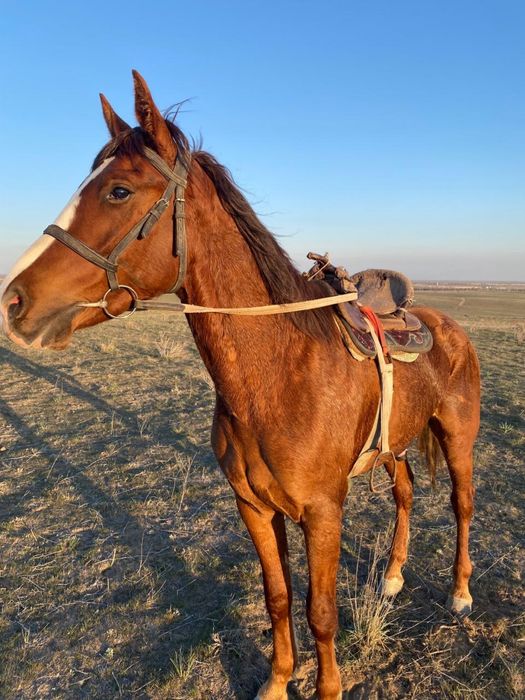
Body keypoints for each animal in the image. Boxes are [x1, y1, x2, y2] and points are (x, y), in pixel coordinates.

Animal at [0, 71, 480, 700]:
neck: (277, 377)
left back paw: (460, 592)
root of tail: (448, 327)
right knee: (405, 494)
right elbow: (277, 598)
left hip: (458, 438)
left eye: (119, 191)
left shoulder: (323, 513)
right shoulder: (252, 506)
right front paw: (277, 682)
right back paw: (395, 577)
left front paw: (327, 688)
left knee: (461, 504)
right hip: (395, 446)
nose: (14, 302)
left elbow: (320, 611)